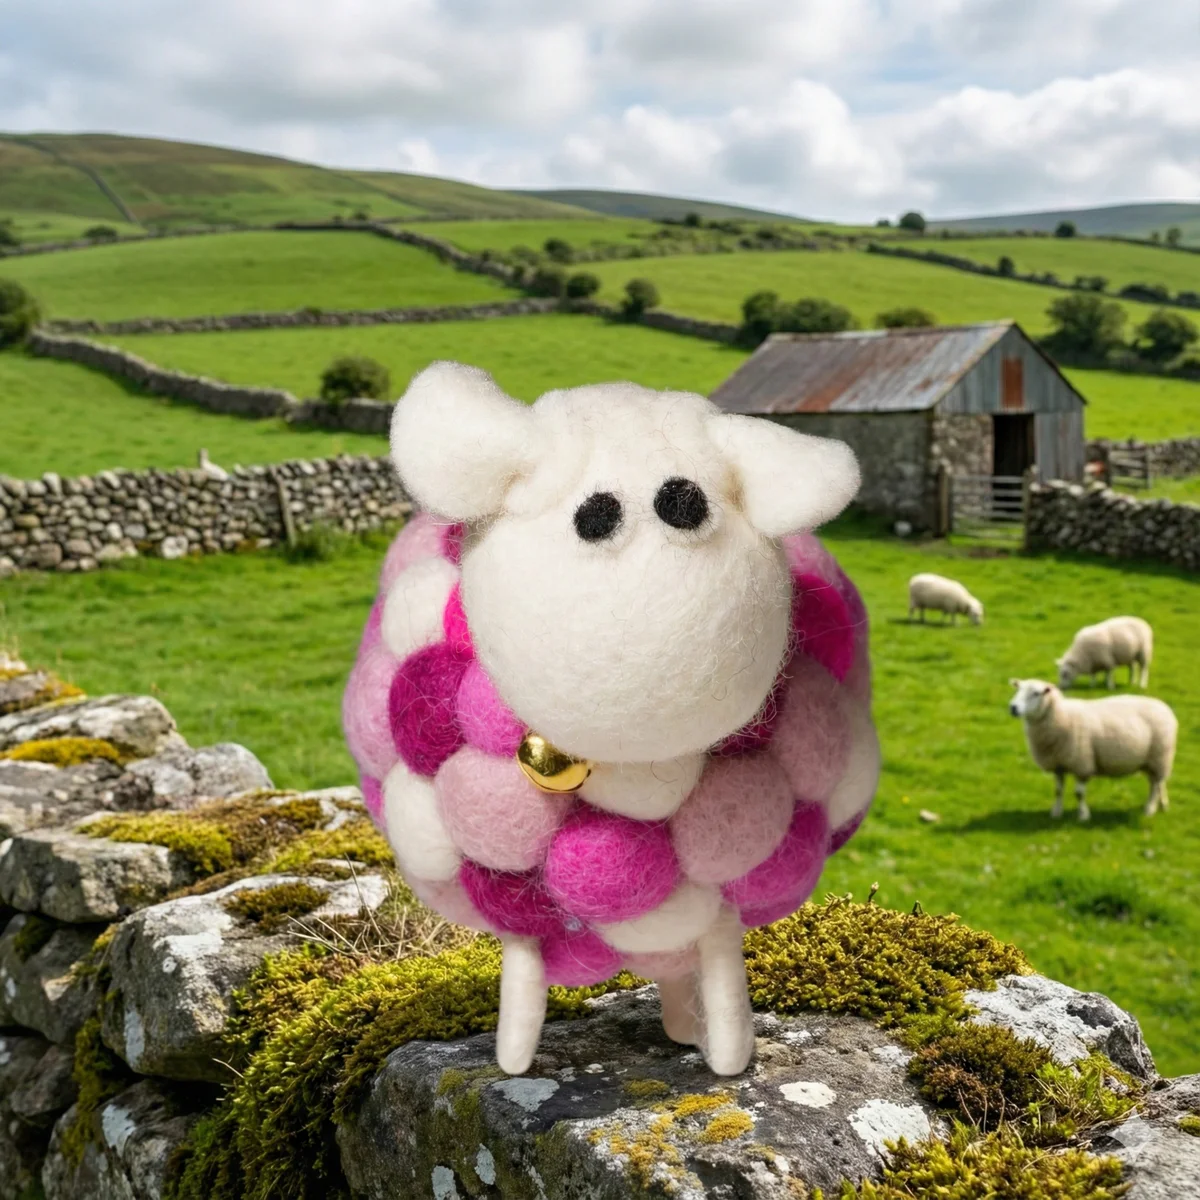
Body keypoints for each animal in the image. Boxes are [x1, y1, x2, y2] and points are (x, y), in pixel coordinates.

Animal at [1008, 678, 1177, 821]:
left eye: (1036, 693)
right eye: (1018, 689)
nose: (1013, 707)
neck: (1061, 716)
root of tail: (1165, 708)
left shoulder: (1082, 764)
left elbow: (1079, 793)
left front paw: (1083, 816)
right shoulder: (1058, 765)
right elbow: (1058, 791)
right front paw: (1056, 812)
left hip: (1160, 756)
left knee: (1155, 785)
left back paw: (1150, 809)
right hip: (1152, 761)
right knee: (1157, 782)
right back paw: (1163, 804)